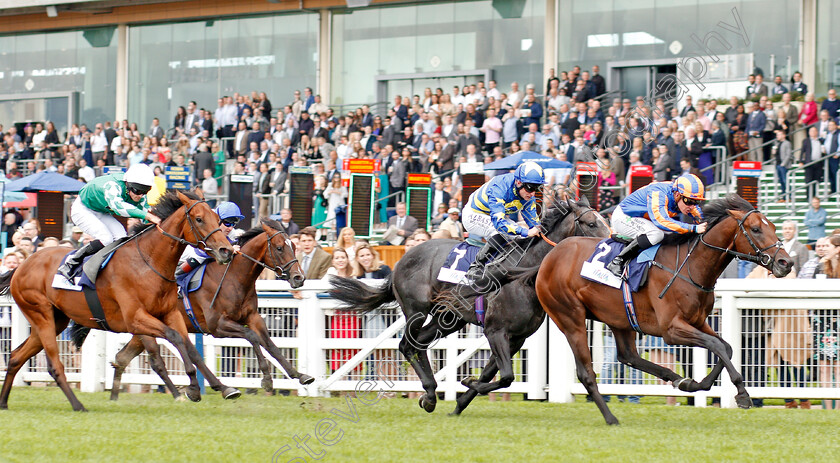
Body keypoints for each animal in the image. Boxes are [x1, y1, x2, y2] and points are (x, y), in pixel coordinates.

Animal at [0, 190, 236, 412]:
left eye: (218, 219)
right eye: (199, 219)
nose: (226, 250)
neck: (149, 262)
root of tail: (20, 266)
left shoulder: (170, 313)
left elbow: (190, 347)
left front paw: (221, 388)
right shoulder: (135, 319)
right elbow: (174, 338)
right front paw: (192, 388)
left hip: (54, 320)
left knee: (16, 356)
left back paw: (3, 402)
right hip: (41, 315)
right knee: (54, 365)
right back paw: (78, 405)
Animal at [328, 196, 612, 414]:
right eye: (591, 223)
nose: (611, 244)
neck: (524, 275)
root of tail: (401, 260)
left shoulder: (517, 337)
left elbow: (493, 375)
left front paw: (461, 400)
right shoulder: (495, 330)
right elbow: (506, 376)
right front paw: (466, 382)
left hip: (448, 319)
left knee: (419, 344)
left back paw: (430, 395)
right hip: (417, 310)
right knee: (407, 345)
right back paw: (429, 393)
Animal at [536, 194, 792, 426]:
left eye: (773, 227)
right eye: (756, 229)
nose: (786, 263)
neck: (690, 266)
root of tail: (551, 256)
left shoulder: (698, 321)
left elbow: (725, 347)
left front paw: (699, 384)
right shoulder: (671, 329)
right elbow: (717, 346)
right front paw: (742, 393)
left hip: (619, 318)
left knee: (629, 356)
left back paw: (679, 380)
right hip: (571, 318)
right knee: (586, 373)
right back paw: (611, 418)